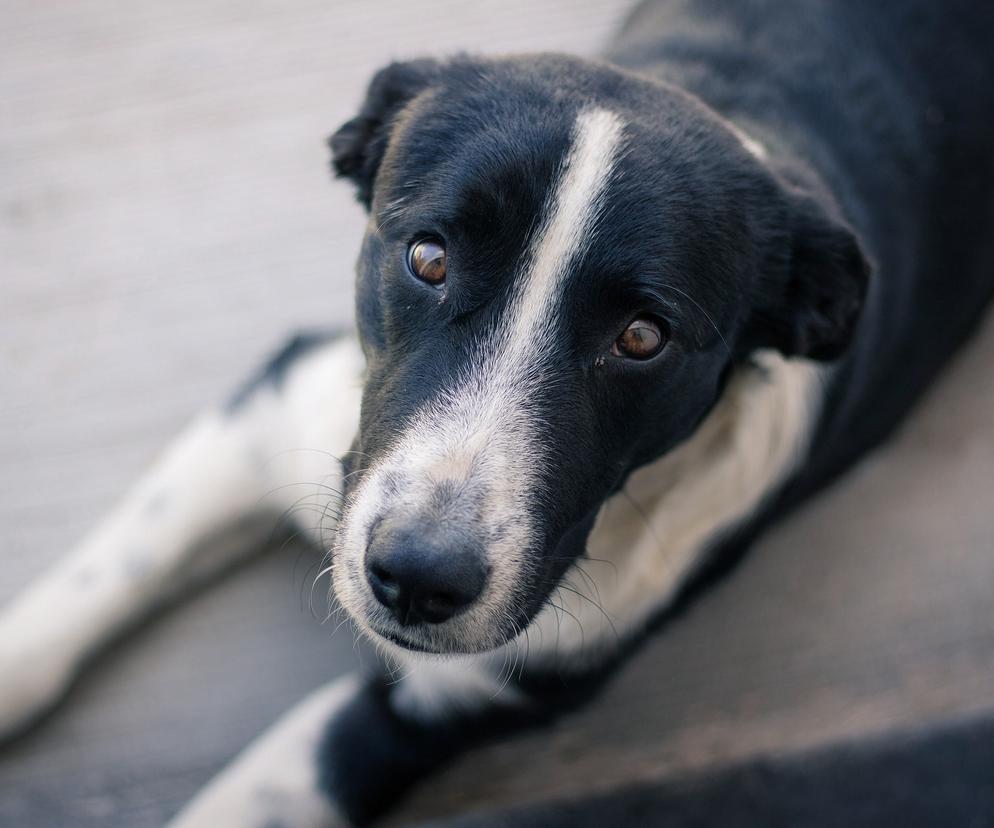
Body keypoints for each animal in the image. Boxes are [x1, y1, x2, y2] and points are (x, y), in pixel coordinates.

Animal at [1, 0, 992, 824]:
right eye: (428, 257)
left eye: (643, 337)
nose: (418, 579)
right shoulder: (272, 411)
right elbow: (108, 571)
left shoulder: (446, 703)